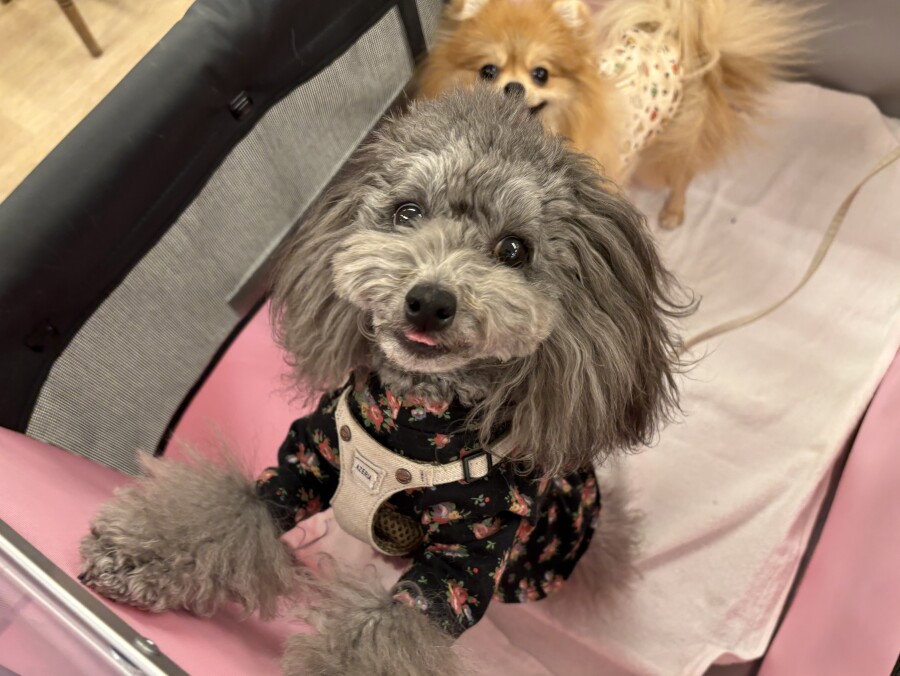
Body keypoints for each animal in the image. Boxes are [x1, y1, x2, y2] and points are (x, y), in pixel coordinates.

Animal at [79, 87, 690, 675]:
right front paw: (137, 557)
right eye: (407, 211)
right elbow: (238, 509)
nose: (430, 302)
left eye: (514, 249)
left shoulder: (464, 562)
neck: (410, 421)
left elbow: (389, 632)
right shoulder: (307, 462)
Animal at [417, 0, 812, 228]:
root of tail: (683, 42)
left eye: (541, 73)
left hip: (676, 140)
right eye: (488, 71)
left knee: (682, 174)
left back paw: (673, 212)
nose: (514, 87)